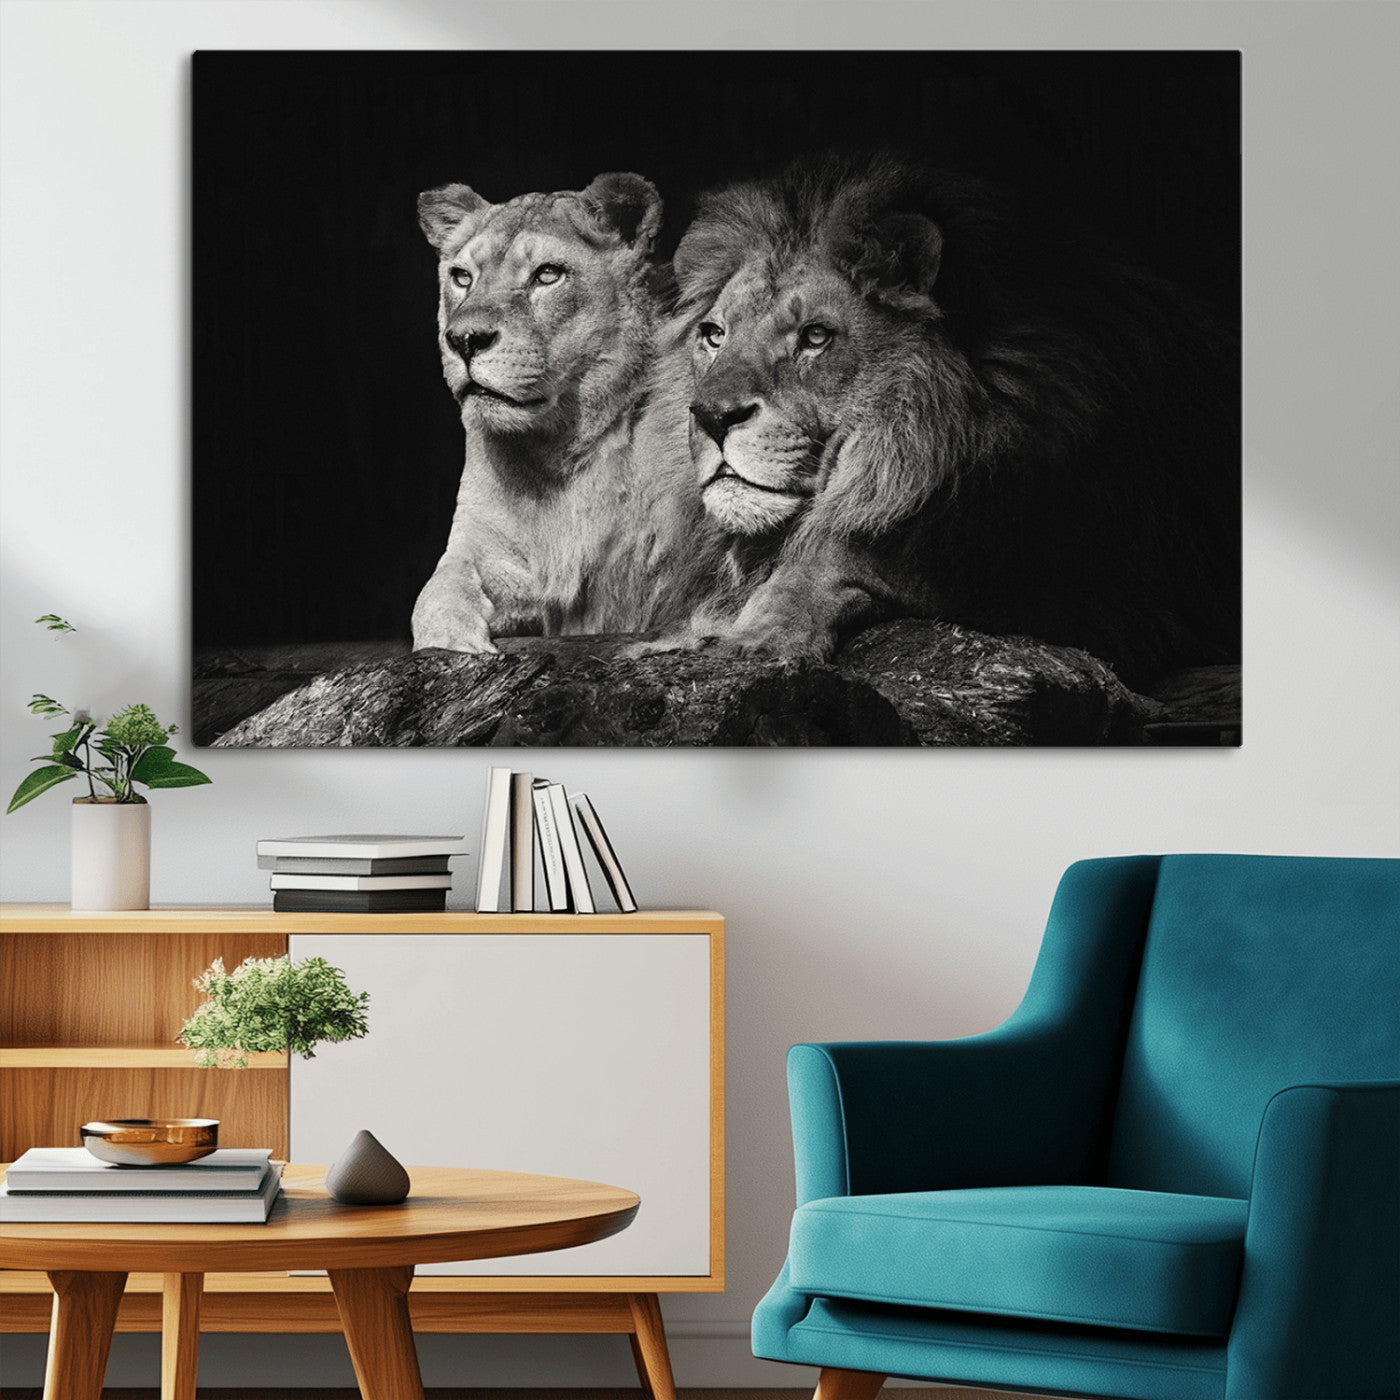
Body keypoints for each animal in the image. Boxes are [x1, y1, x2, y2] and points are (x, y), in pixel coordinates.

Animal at [411, 172, 717, 652]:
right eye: (462, 277)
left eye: (548, 275)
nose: (462, 339)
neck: (559, 451)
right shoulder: (481, 545)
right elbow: (435, 593)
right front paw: (454, 643)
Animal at [647, 155, 1240, 680]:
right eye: (713, 335)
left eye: (816, 336)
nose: (712, 416)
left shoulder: (1104, 592)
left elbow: (844, 550)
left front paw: (753, 633)